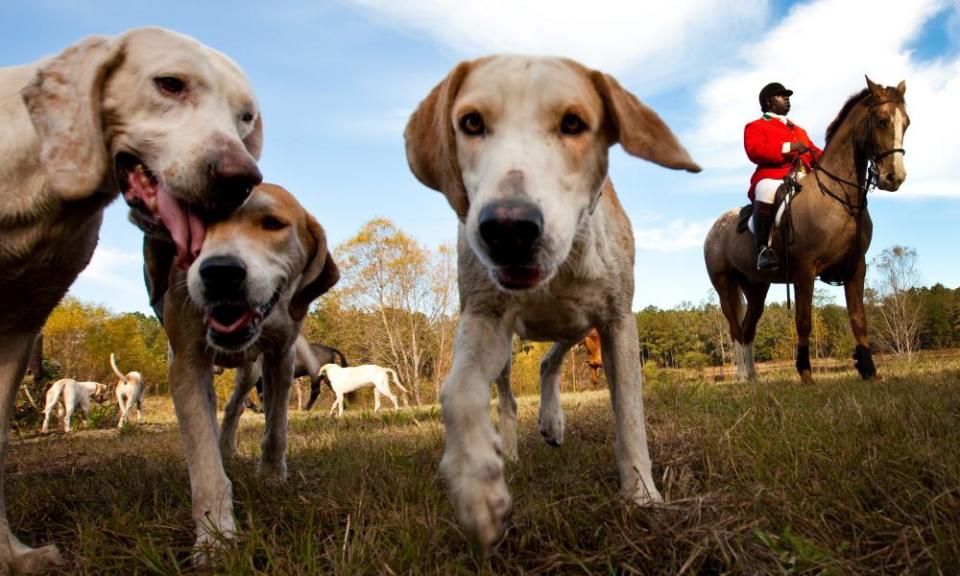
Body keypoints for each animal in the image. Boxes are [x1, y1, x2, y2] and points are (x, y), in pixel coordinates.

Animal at [0, 27, 262, 572]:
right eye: (170, 84)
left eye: (246, 115)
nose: (242, 179)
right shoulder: (184, 357)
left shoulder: (19, 328)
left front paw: (217, 540)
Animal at [402, 56, 700, 548]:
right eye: (471, 123)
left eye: (573, 123)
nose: (508, 228)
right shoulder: (484, 316)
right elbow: (458, 392)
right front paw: (477, 485)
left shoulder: (616, 321)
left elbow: (630, 414)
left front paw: (641, 494)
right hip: (511, 349)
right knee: (506, 397)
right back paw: (509, 446)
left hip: (579, 325)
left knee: (550, 361)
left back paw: (552, 420)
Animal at [704, 76, 908, 382]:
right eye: (882, 121)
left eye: (906, 122)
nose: (894, 177)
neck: (839, 197)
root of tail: (714, 229)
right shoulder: (804, 270)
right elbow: (803, 321)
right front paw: (805, 373)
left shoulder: (856, 266)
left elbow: (858, 320)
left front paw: (868, 369)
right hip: (724, 285)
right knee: (736, 331)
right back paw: (741, 378)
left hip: (757, 287)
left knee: (748, 329)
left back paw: (752, 379)